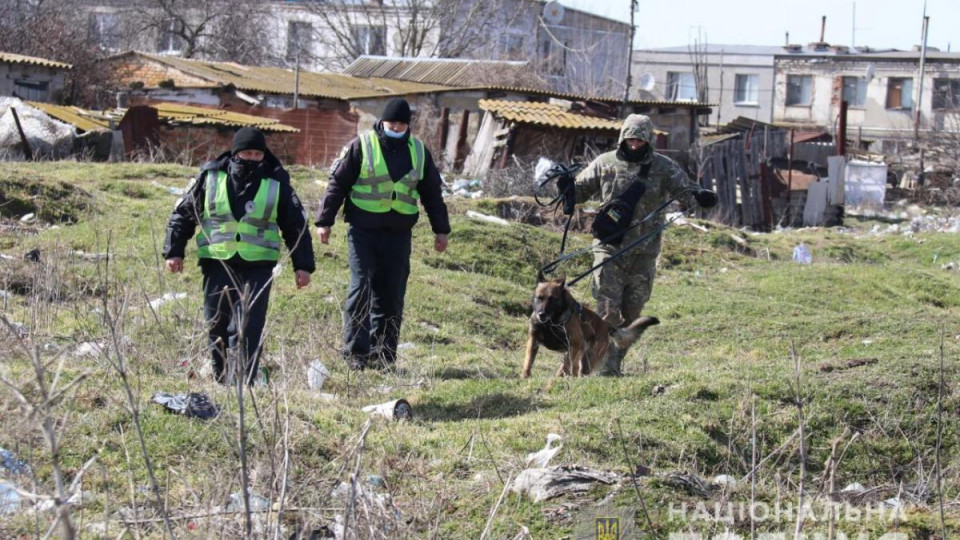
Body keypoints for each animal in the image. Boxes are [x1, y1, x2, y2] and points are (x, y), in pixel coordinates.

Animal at [516, 272, 660, 378]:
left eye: (552, 299)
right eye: (539, 298)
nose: (541, 314)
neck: (551, 322)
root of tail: (605, 325)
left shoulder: (575, 344)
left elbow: (571, 367)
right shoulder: (533, 341)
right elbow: (528, 361)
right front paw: (524, 376)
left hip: (588, 358)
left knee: (579, 371)